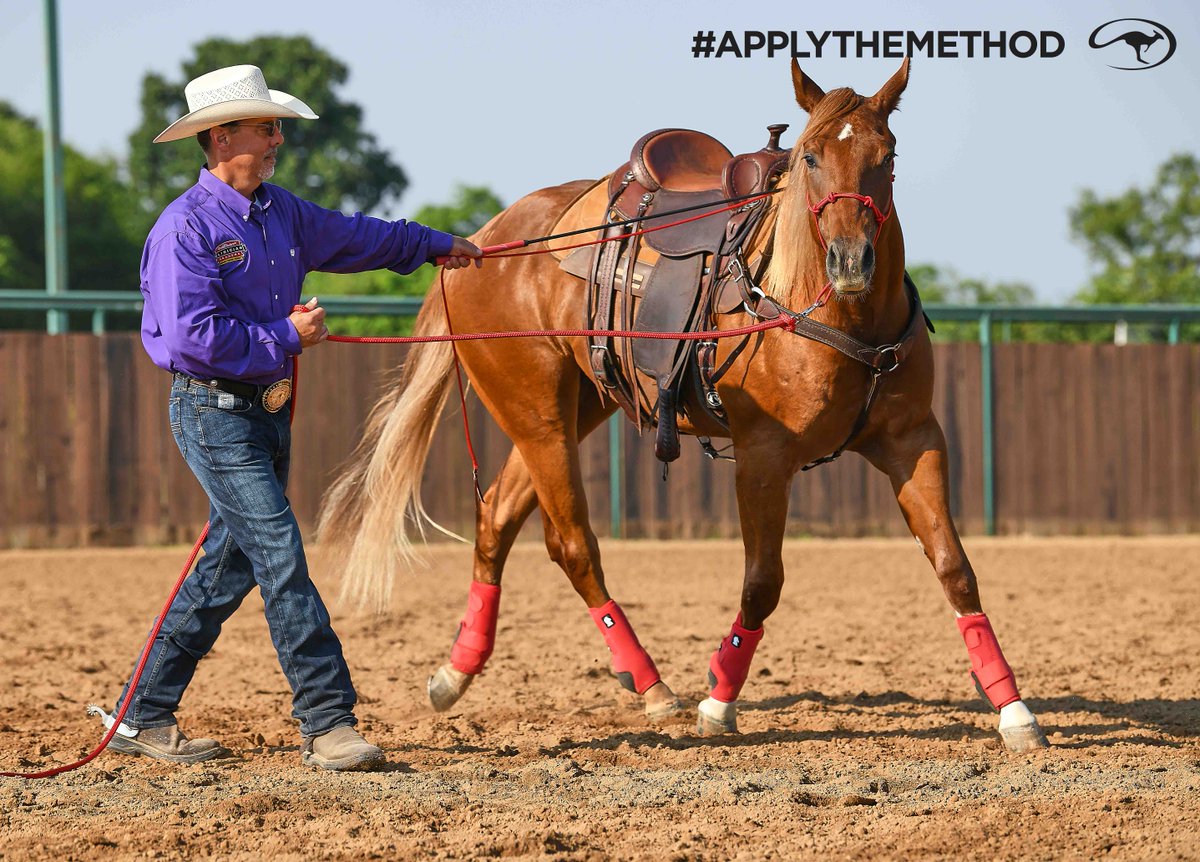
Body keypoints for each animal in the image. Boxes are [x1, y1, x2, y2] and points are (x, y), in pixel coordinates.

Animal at [317, 59, 1050, 753]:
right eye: (810, 157)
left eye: (887, 153)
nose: (850, 260)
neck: (831, 310)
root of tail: (482, 240)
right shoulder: (763, 455)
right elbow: (762, 581)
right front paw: (718, 702)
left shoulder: (913, 440)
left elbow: (956, 569)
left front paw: (1013, 709)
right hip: (534, 410)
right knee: (573, 542)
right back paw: (652, 686)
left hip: (578, 407)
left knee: (497, 514)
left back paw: (457, 671)